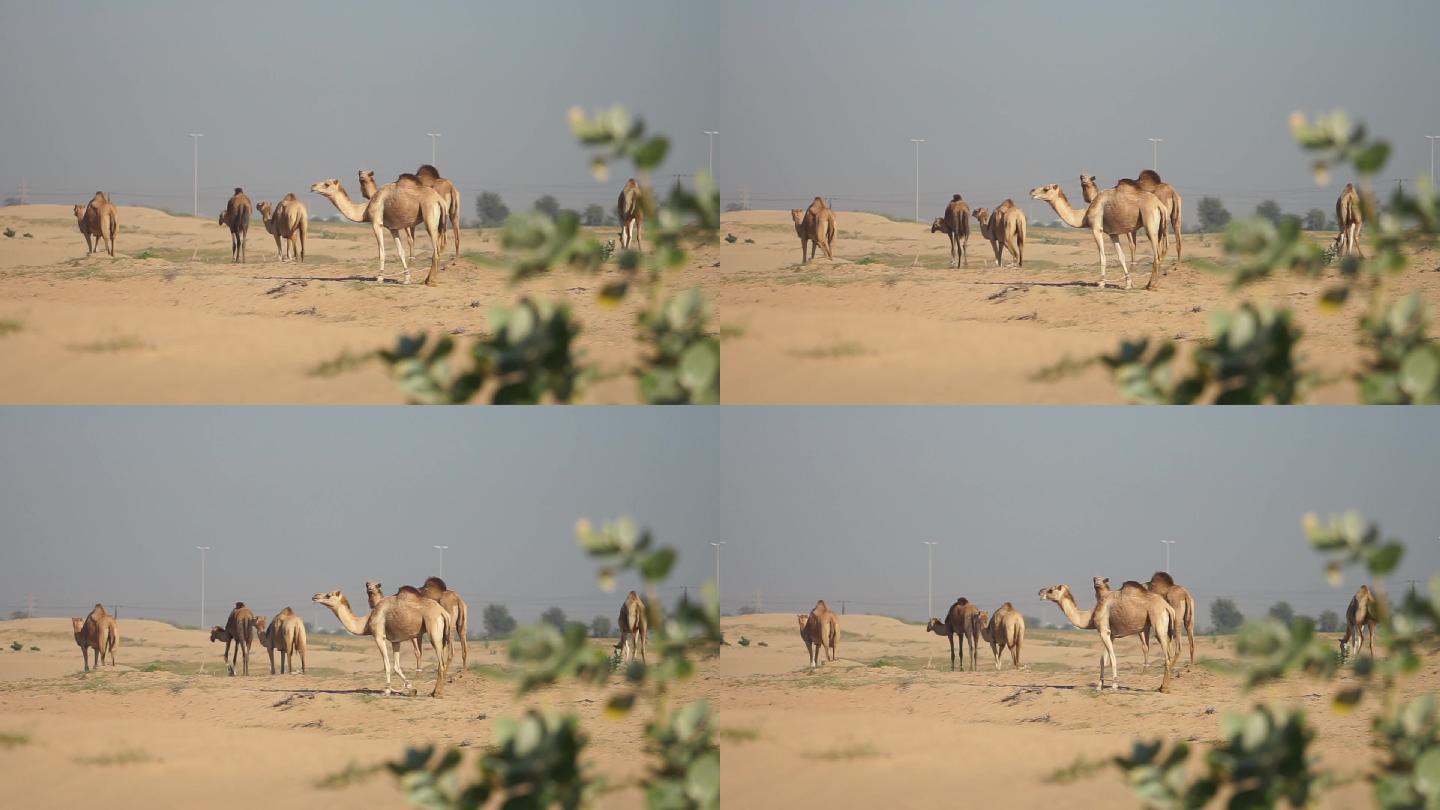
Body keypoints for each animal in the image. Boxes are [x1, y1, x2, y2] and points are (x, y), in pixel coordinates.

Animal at [313, 176, 443, 283]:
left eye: (327, 184)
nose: (312, 186)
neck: (365, 209)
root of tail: (439, 199)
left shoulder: (376, 223)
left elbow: (381, 251)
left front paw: (380, 277)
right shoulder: (393, 228)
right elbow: (401, 251)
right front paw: (406, 278)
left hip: (429, 218)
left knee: (436, 250)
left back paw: (429, 280)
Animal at [313, 585, 449, 694]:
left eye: (329, 595)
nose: (315, 596)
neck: (366, 622)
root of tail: (443, 613)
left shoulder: (379, 636)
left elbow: (386, 664)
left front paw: (387, 690)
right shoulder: (395, 641)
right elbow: (396, 666)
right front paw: (410, 687)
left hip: (434, 632)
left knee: (441, 663)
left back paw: (436, 693)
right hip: (443, 636)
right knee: (444, 662)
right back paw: (436, 691)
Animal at [1031, 180, 1163, 289]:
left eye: (1046, 188)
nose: (1032, 191)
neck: (1084, 215)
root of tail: (1159, 205)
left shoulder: (1096, 228)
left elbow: (1102, 256)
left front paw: (1101, 283)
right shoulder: (1113, 233)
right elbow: (1121, 257)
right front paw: (1128, 284)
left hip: (1150, 225)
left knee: (1157, 255)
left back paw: (1151, 285)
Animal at [1042, 576, 1175, 691]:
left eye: (1051, 589)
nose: (1040, 592)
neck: (1091, 615)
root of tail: (1168, 607)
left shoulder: (1103, 630)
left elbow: (1112, 657)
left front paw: (1114, 685)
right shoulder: (1111, 635)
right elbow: (1103, 659)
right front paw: (1099, 686)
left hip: (1158, 624)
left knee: (1167, 657)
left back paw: (1163, 688)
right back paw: (1163, 686)